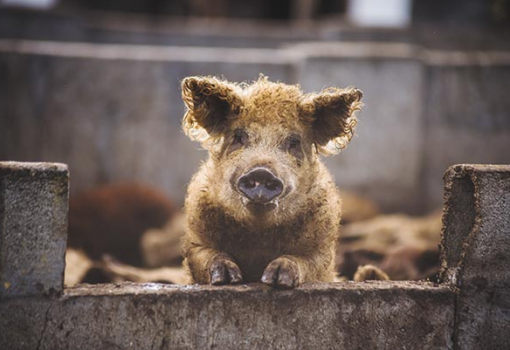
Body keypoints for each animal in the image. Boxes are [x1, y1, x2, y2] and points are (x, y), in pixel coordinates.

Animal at [179, 75, 362, 288]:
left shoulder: (321, 252)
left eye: (294, 142)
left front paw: (276, 280)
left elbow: (301, 261)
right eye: (238, 137)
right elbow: (209, 255)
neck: (259, 239)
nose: (261, 172)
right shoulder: (196, 241)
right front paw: (227, 279)